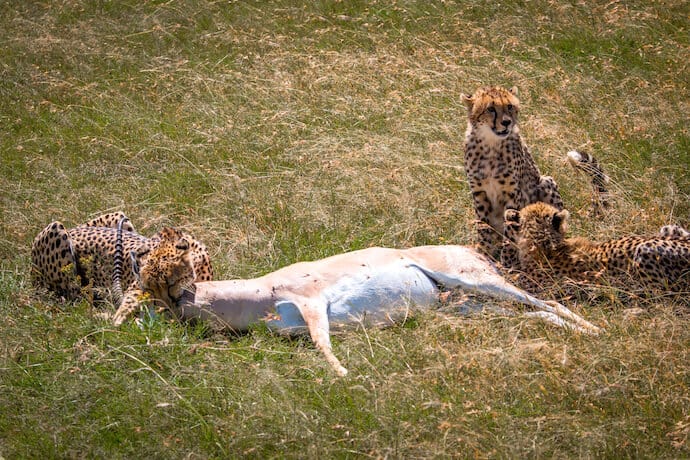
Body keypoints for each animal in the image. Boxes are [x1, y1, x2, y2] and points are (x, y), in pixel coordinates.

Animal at [30, 212, 212, 324]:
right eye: (149, 289)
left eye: (171, 284)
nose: (165, 308)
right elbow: (130, 299)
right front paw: (120, 318)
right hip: (56, 229)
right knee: (75, 299)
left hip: (120, 217)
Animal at [460, 85, 560, 264]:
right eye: (490, 109)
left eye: (510, 107)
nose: (506, 122)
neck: (490, 144)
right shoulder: (479, 192)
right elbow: (483, 226)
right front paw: (484, 252)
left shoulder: (512, 193)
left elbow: (511, 230)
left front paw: (508, 261)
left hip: (545, 181)